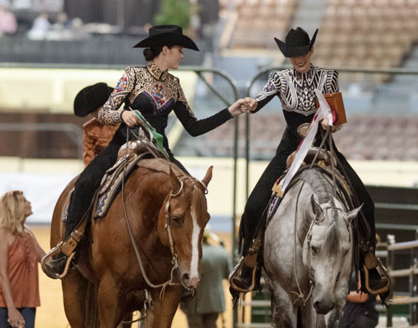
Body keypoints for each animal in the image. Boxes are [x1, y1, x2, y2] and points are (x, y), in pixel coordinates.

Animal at [49, 158, 212, 326]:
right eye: (175, 218)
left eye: (206, 219)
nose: (192, 276)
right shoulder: (110, 291)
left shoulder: (168, 294)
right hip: (72, 286)